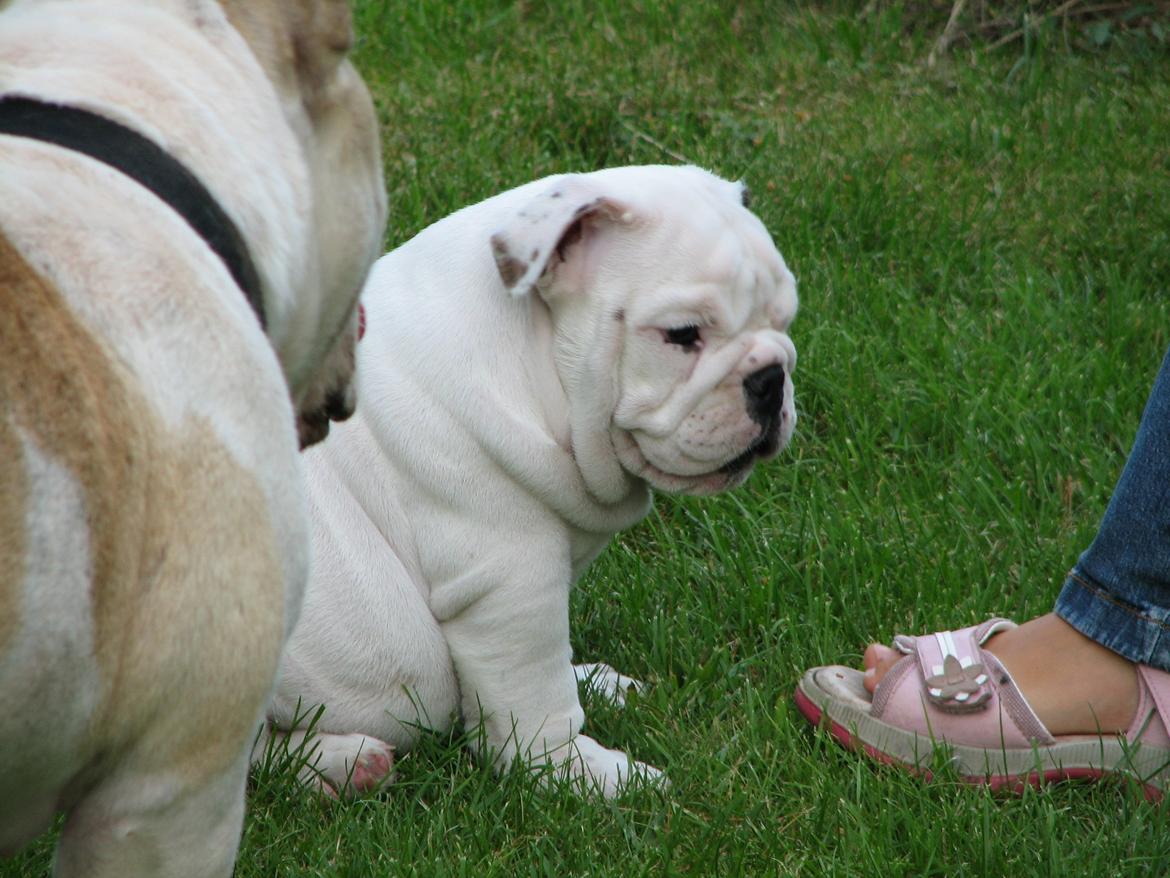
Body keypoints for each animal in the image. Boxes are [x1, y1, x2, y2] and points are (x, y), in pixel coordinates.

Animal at [271, 163, 795, 796]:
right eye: (682, 334)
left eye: (784, 319)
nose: (771, 378)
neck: (535, 365)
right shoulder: (511, 585)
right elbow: (535, 698)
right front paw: (585, 774)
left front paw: (593, 683)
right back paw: (342, 761)